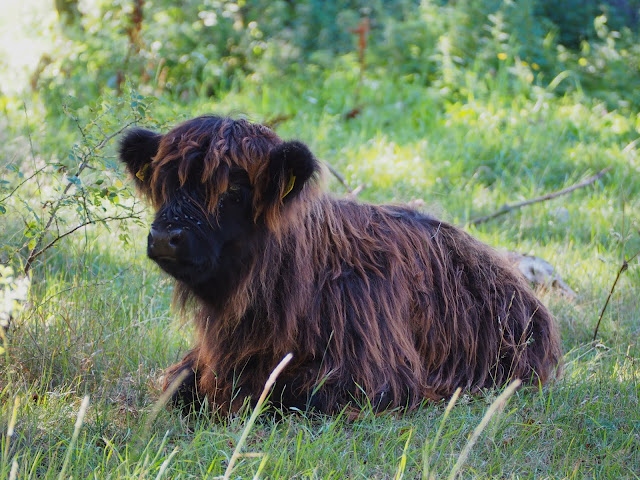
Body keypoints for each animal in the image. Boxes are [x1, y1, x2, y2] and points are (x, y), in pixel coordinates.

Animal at [119, 117, 560, 416]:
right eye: (165, 183)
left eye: (233, 190)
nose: (165, 237)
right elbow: (175, 382)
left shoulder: (374, 377)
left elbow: (284, 393)